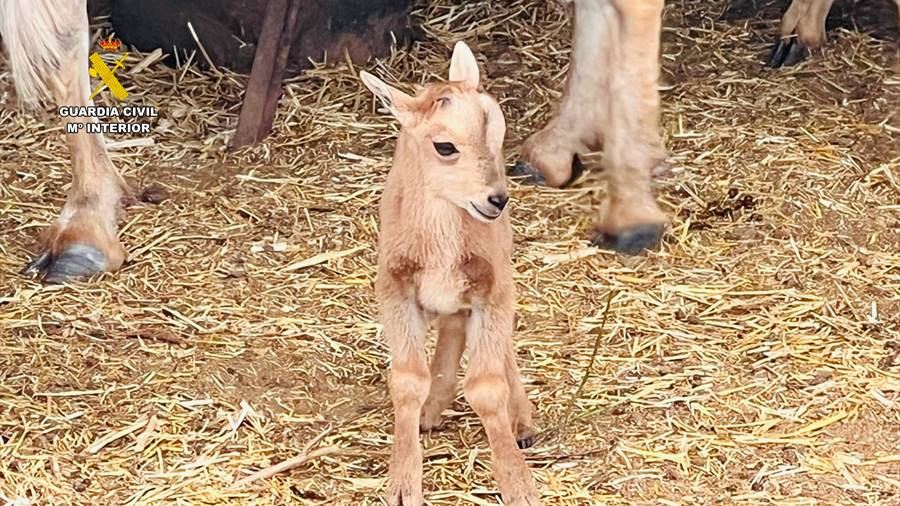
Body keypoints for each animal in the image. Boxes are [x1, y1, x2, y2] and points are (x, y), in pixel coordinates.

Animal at [360, 41, 540, 504]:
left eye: (496, 126)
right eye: (444, 146)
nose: (497, 199)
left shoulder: (493, 287)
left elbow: (487, 387)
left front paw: (517, 482)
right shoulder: (394, 288)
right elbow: (408, 380)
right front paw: (403, 484)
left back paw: (522, 421)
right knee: (452, 328)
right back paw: (432, 410)